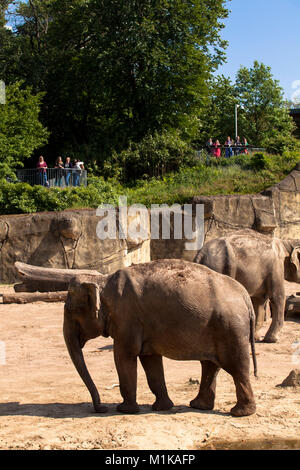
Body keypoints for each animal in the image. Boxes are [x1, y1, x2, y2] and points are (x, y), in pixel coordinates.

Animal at [15, 258, 256, 416]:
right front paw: (162, 407)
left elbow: (124, 356)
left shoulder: (127, 318)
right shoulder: (143, 326)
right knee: (210, 365)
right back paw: (198, 405)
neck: (103, 282)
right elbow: (150, 361)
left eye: (70, 312)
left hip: (230, 328)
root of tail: (246, 297)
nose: (101, 408)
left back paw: (240, 413)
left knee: (236, 366)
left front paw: (124, 409)